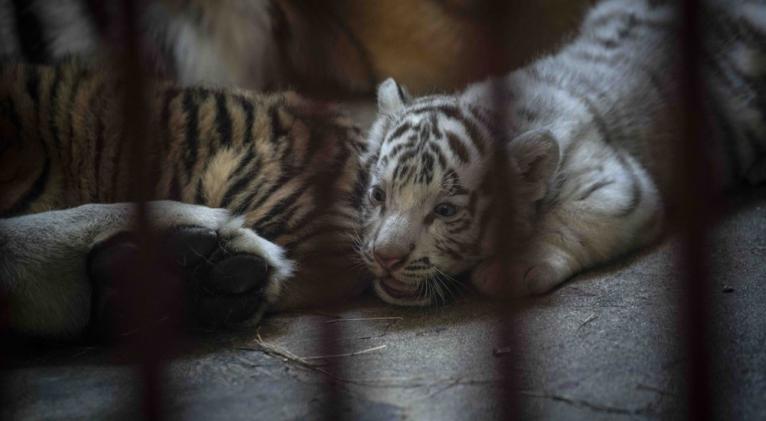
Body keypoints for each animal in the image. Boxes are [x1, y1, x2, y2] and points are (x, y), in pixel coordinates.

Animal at [357, 0, 766, 306]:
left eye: (445, 211)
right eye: (378, 195)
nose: (386, 256)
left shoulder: (620, 184)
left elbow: (569, 220)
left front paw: (511, 268)